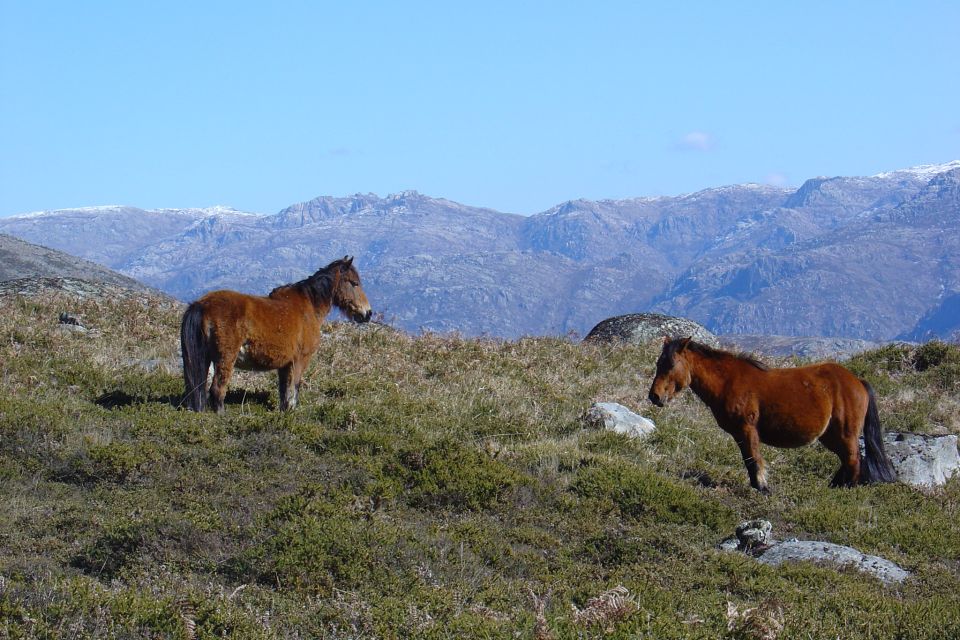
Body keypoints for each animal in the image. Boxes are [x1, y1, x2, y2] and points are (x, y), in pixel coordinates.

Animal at [180, 258, 372, 412]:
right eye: (354, 283)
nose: (367, 313)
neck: (309, 307)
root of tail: (202, 304)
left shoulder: (285, 365)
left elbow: (283, 391)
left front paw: (283, 411)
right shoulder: (300, 360)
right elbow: (294, 387)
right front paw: (292, 411)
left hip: (206, 359)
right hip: (225, 359)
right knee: (217, 390)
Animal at [648, 338, 896, 492]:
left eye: (671, 364)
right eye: (659, 362)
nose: (655, 396)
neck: (728, 381)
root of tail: (858, 381)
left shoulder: (747, 429)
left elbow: (754, 459)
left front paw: (762, 487)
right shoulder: (739, 434)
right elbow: (748, 460)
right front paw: (757, 486)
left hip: (845, 434)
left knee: (853, 459)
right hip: (831, 436)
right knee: (848, 460)